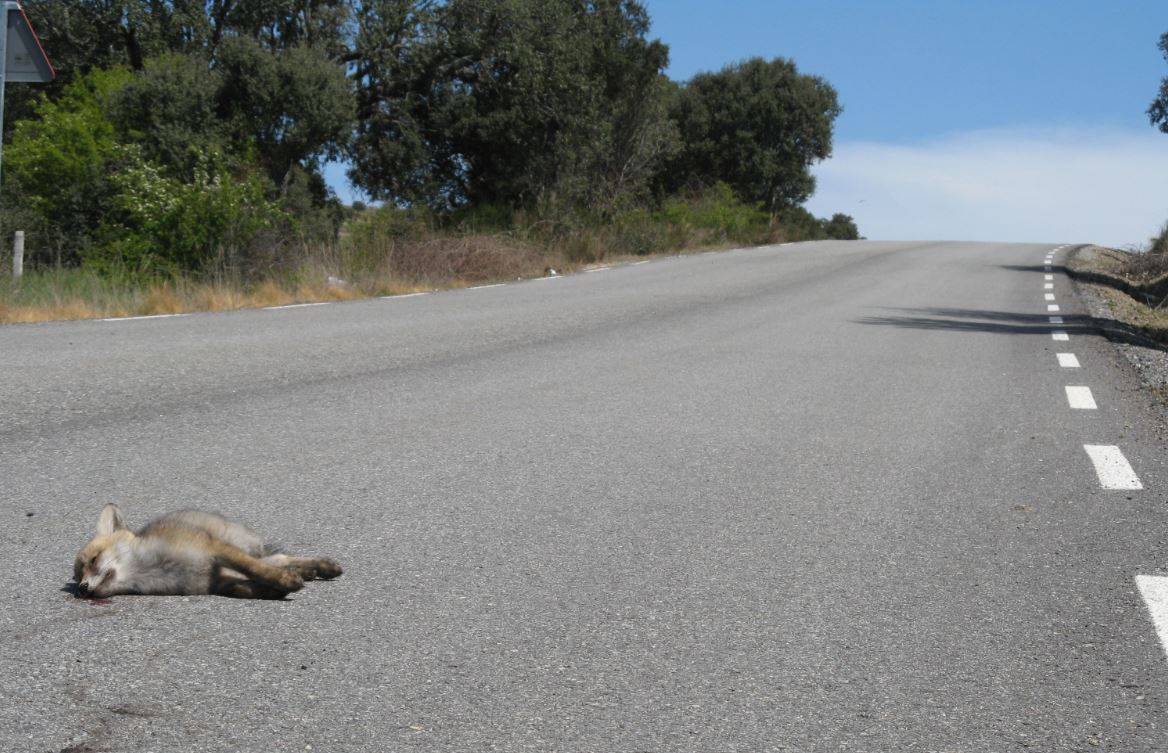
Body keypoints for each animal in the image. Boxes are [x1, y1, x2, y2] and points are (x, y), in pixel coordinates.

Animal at [73, 504, 342, 599]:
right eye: (77, 578)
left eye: (94, 560)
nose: (83, 589)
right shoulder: (216, 582)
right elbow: (247, 589)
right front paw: (277, 589)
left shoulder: (213, 550)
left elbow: (256, 569)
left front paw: (284, 581)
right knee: (279, 558)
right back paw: (310, 570)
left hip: (236, 542)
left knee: (270, 559)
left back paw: (321, 567)